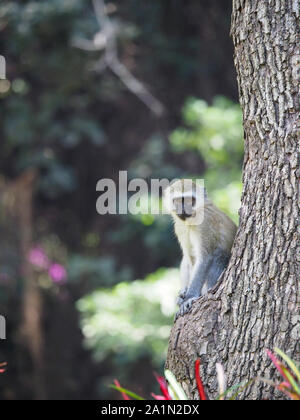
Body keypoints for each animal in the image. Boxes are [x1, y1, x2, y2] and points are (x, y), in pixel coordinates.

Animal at [164, 179, 237, 316]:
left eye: (189, 200)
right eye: (178, 200)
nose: (183, 209)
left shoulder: (204, 223)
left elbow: (205, 258)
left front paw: (189, 297)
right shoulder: (180, 228)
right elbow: (189, 258)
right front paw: (184, 293)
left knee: (218, 255)